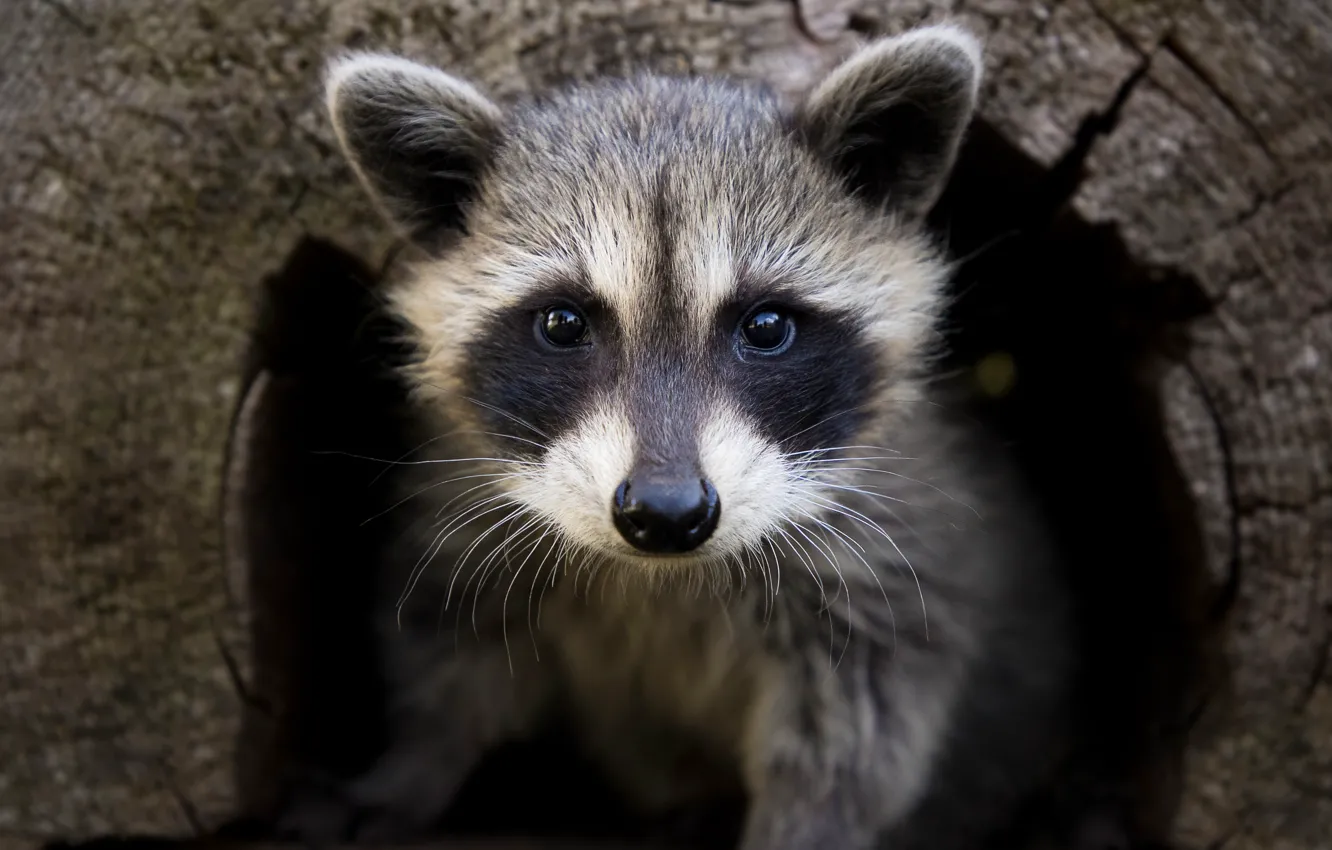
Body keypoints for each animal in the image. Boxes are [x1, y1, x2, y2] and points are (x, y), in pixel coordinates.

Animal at [307, 24, 1075, 850]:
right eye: (562, 324)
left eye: (766, 327)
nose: (667, 513)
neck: (665, 575)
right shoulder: (466, 497)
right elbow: (451, 645)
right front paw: (413, 764)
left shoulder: (896, 552)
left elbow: (857, 732)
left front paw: (804, 826)